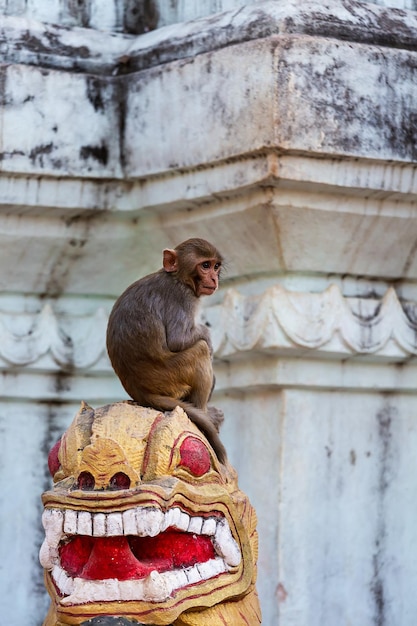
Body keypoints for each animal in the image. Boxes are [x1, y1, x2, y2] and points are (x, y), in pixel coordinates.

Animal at [105, 236, 226, 460]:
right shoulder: (183, 297)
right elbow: (178, 339)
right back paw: (205, 415)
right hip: (171, 375)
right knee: (200, 350)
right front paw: (208, 337)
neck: (178, 277)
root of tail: (139, 392)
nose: (214, 279)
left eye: (216, 266)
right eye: (205, 265)